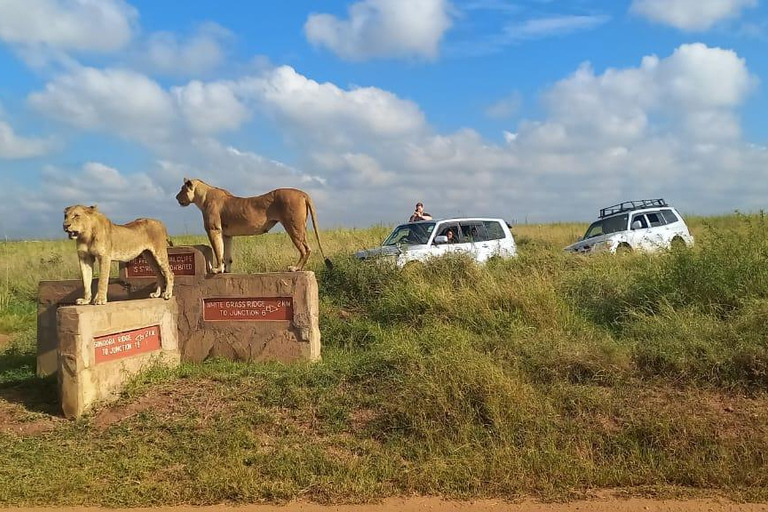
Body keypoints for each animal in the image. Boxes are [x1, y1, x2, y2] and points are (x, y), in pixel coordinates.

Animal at [177, 177, 332, 274]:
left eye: (182, 189)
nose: (176, 197)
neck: (202, 197)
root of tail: (303, 193)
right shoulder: (227, 234)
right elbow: (227, 254)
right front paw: (226, 271)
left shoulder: (213, 229)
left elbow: (218, 251)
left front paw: (217, 270)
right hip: (301, 227)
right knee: (306, 248)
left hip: (293, 226)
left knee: (306, 249)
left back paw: (295, 268)